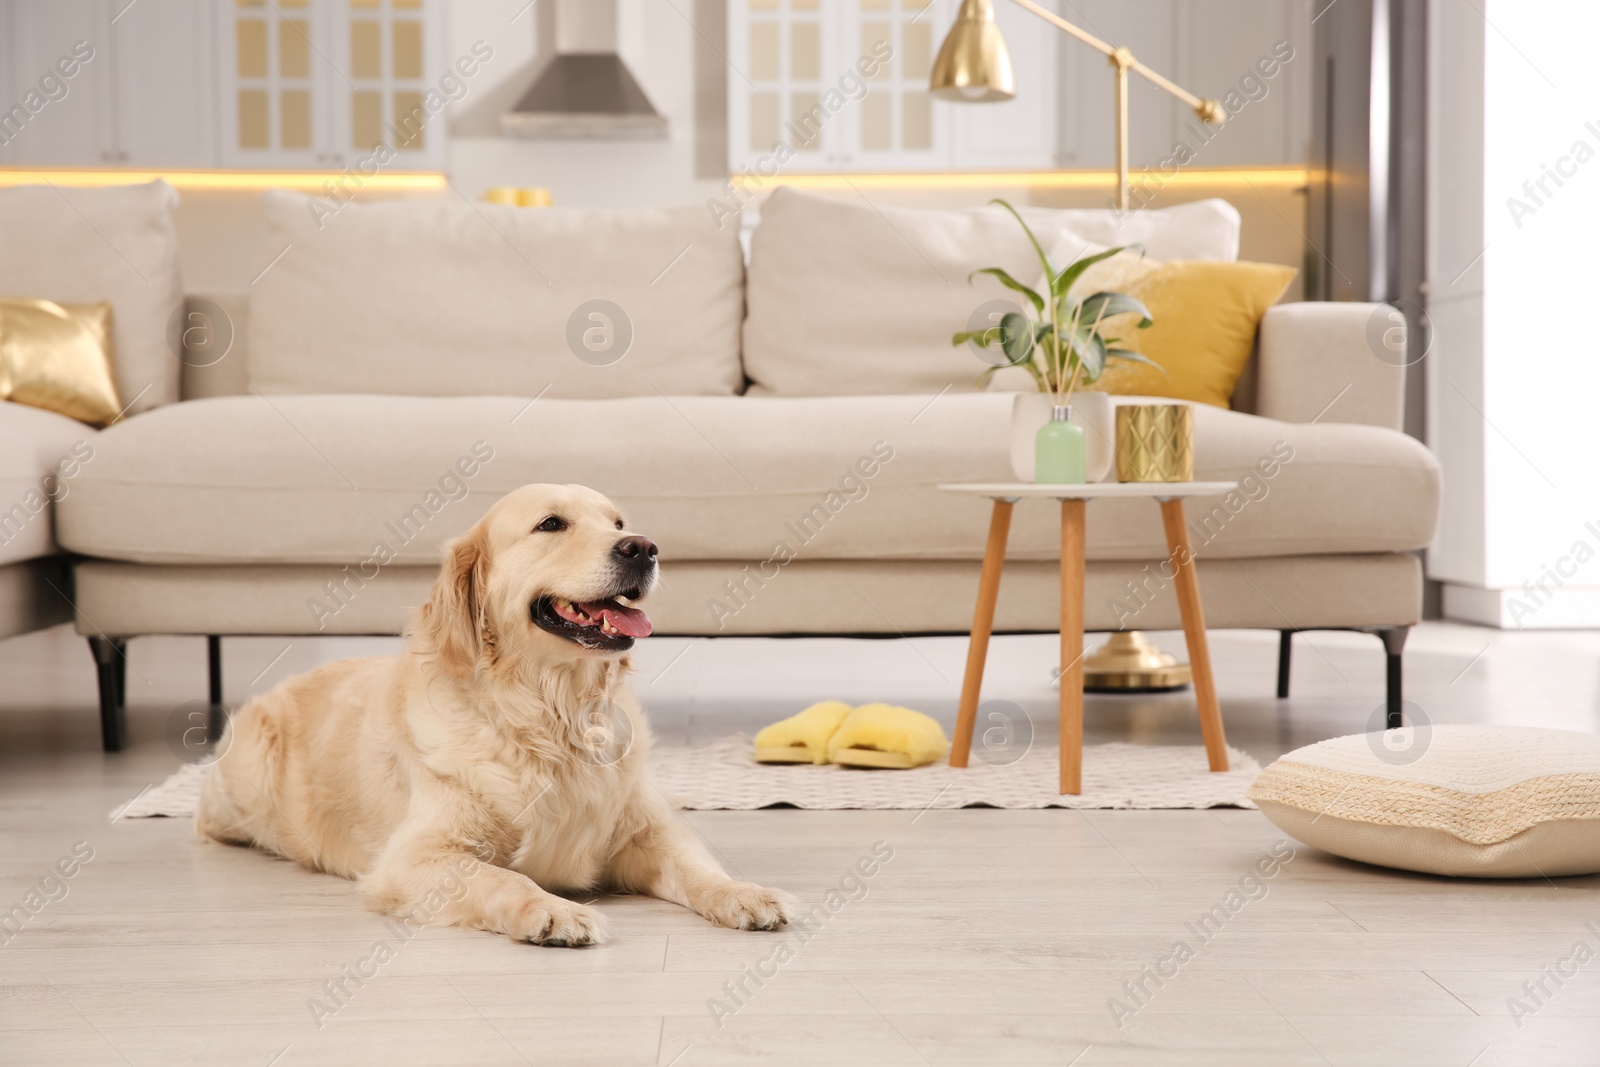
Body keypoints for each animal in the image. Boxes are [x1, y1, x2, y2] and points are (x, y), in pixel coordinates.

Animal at [196, 483, 796, 940]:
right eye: (551, 524)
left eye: (619, 521)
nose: (644, 548)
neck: (553, 716)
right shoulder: (415, 857)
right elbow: (505, 879)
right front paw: (553, 911)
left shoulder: (648, 833)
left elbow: (699, 867)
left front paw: (745, 893)